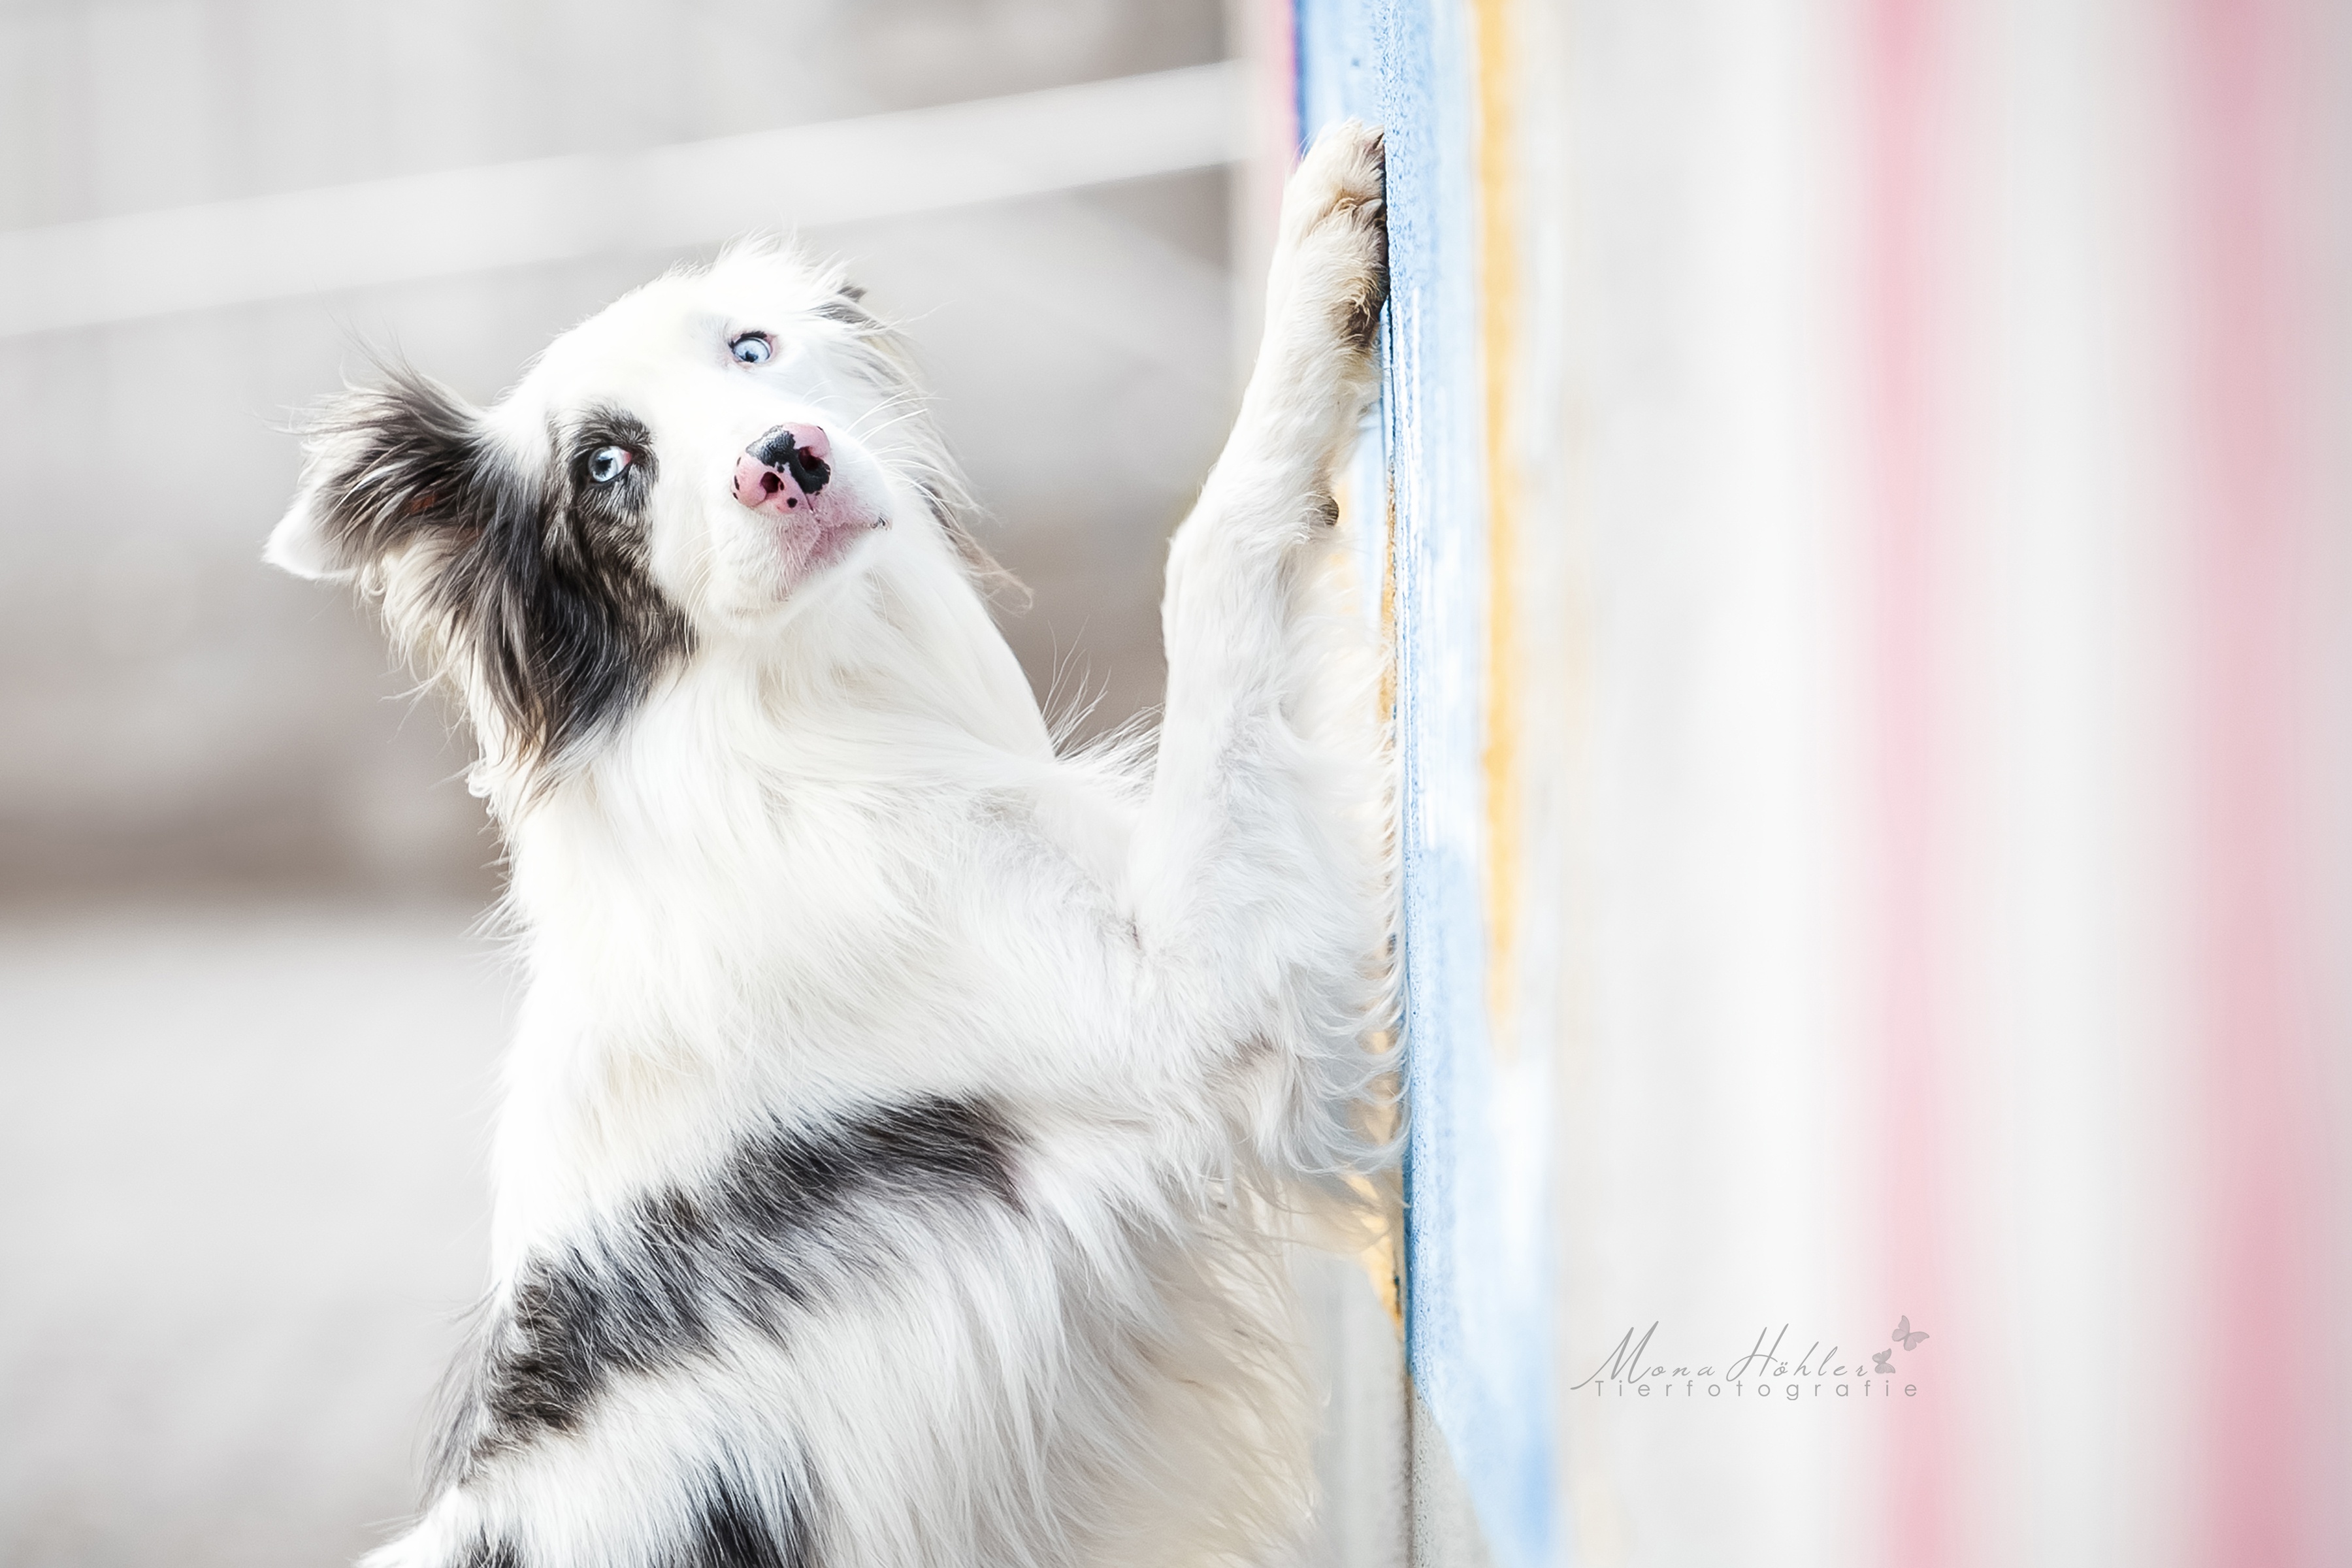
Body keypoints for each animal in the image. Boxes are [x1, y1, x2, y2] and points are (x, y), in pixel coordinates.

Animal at [262, 125, 1392, 1568]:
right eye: (605, 467)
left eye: (752, 349)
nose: (786, 458)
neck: (793, 718)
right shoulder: (1193, 1017)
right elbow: (1211, 562)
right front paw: (1318, 264)